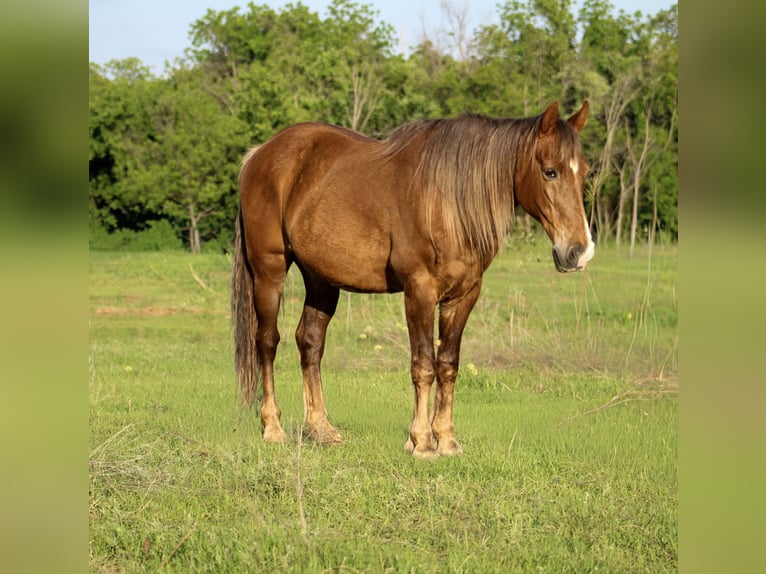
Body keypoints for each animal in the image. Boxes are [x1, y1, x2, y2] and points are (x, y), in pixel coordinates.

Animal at [231, 101, 593, 459]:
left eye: (585, 172)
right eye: (550, 171)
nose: (579, 252)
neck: (447, 201)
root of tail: (260, 154)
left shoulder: (464, 295)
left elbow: (447, 364)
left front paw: (446, 439)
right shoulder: (419, 290)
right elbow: (423, 365)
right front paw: (421, 441)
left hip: (321, 280)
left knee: (310, 341)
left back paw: (321, 429)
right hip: (270, 270)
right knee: (267, 341)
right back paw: (273, 428)